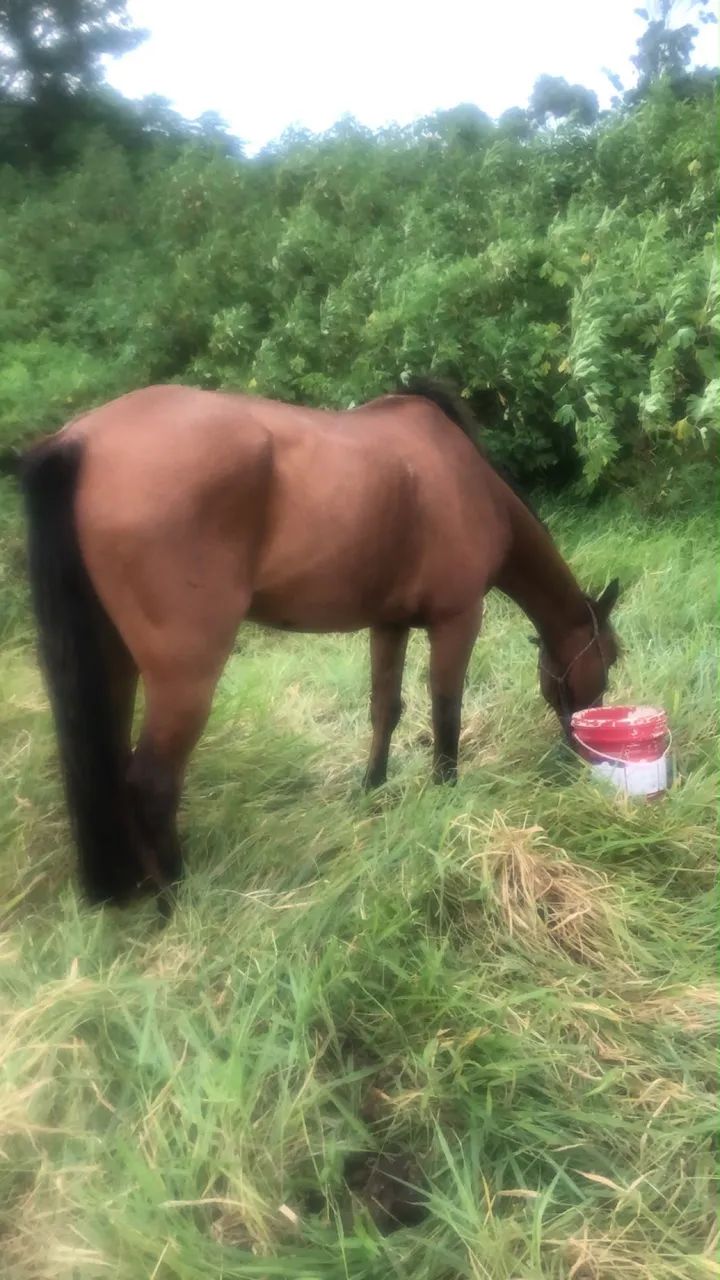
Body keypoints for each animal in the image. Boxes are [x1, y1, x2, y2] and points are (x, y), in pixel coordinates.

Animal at [2, 379, 620, 908]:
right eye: (609, 658)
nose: (577, 750)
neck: (465, 478)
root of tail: (79, 443)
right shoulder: (457, 619)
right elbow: (446, 712)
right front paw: (447, 795)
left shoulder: (389, 624)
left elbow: (385, 707)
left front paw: (371, 789)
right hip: (184, 677)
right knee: (151, 782)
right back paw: (175, 899)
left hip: (114, 663)